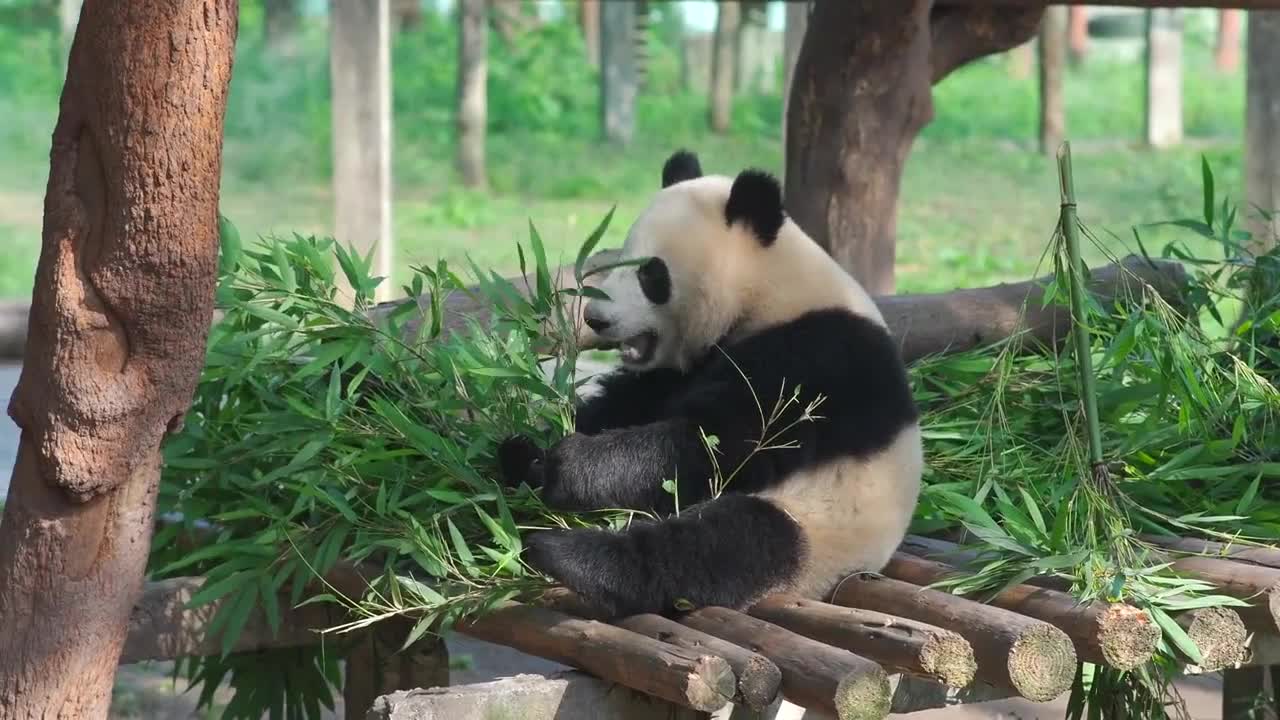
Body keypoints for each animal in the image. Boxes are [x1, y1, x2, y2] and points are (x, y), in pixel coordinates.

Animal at [494, 149, 926, 617]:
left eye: (651, 274)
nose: (595, 318)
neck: (770, 290)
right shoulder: (678, 370)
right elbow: (626, 403)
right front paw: (526, 447)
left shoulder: (817, 358)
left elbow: (717, 443)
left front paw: (567, 465)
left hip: (824, 523)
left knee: (726, 546)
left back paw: (569, 556)